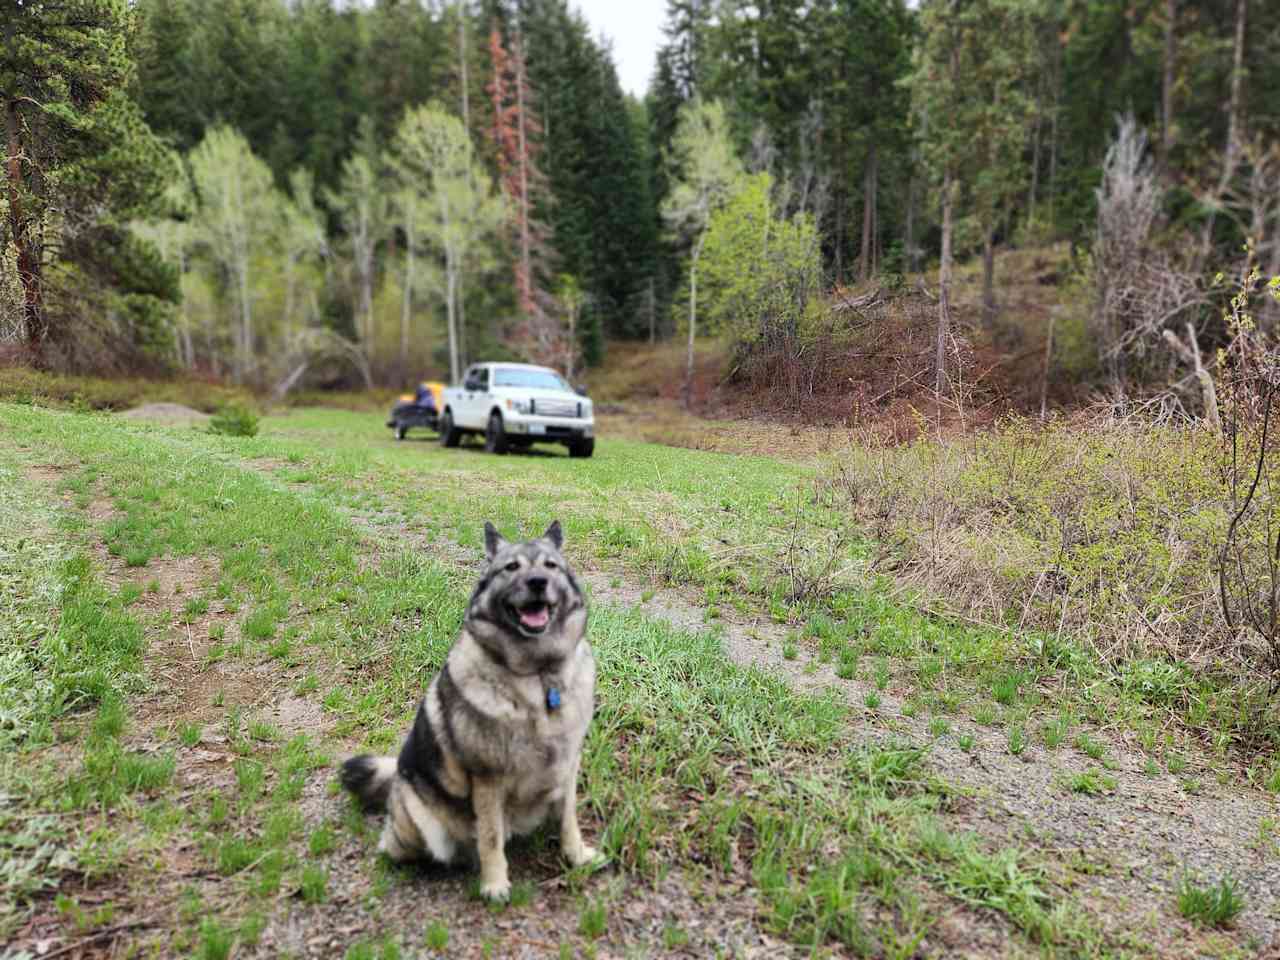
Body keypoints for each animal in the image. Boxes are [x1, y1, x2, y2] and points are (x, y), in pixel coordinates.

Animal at [343, 522, 596, 901]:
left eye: (550, 566)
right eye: (511, 567)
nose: (537, 582)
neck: (539, 674)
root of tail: (398, 774)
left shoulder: (567, 767)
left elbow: (569, 820)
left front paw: (577, 856)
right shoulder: (488, 780)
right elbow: (490, 838)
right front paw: (494, 885)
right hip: (419, 824)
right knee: (393, 847)